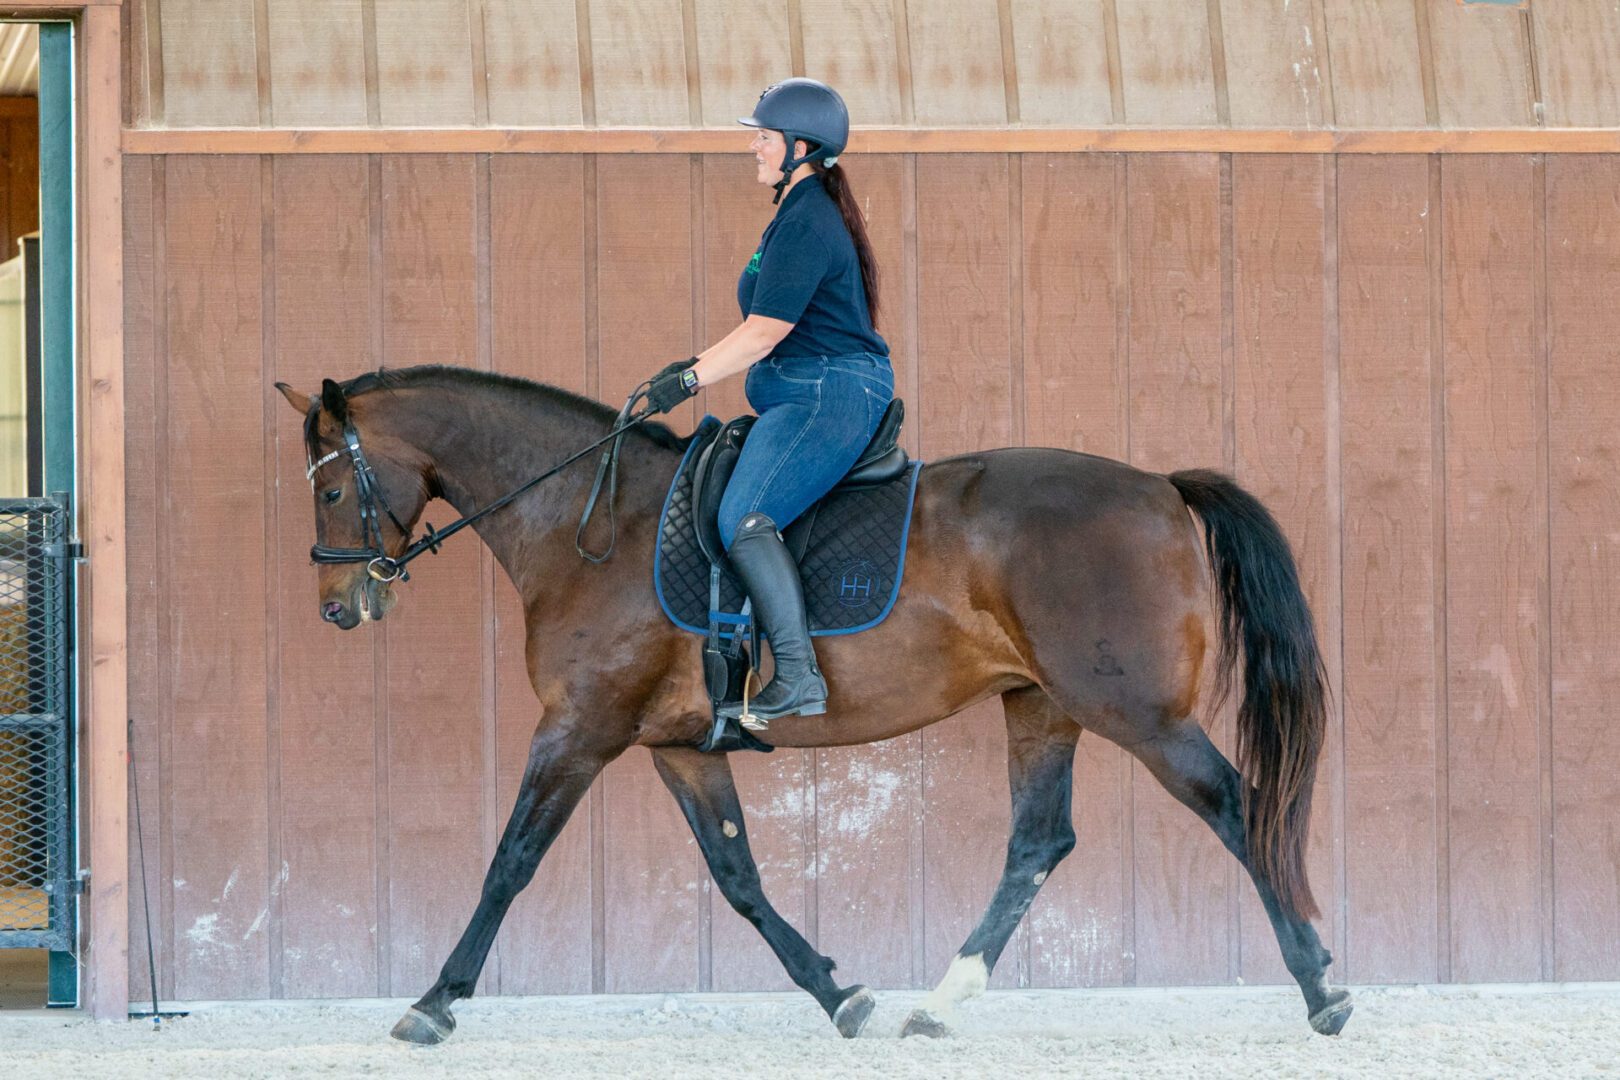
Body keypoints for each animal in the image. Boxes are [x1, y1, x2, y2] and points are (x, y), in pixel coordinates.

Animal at [275, 364, 1352, 1044]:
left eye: (328, 493)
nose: (338, 604)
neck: (591, 525)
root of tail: (1160, 488)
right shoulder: (680, 747)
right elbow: (739, 878)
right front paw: (841, 995)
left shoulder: (579, 730)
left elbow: (510, 862)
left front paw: (434, 1001)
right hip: (1041, 705)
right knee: (1039, 842)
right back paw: (938, 1004)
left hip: (1139, 714)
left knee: (1239, 807)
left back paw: (1322, 989)